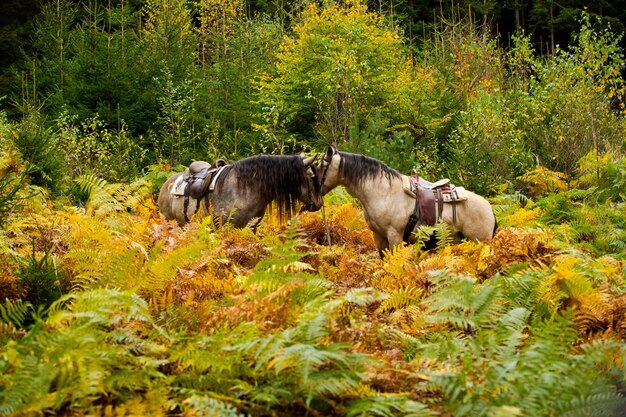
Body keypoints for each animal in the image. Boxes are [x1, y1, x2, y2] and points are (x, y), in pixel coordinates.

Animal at [314, 145, 494, 254]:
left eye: (322, 166)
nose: (314, 198)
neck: (383, 193)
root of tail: (489, 209)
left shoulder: (395, 236)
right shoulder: (379, 237)